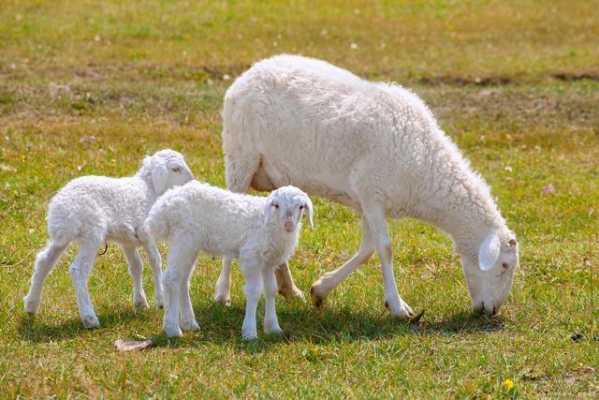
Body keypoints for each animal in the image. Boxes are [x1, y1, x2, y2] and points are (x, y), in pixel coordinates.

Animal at [22, 148, 192, 326]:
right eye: (176, 169)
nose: (191, 181)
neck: (149, 189)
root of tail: (62, 207)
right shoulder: (145, 232)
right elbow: (155, 261)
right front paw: (160, 300)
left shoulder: (127, 240)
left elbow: (136, 266)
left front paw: (140, 302)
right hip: (92, 233)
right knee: (78, 270)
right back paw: (89, 317)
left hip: (61, 237)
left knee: (43, 261)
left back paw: (31, 305)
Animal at [145, 183, 314, 340]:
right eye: (276, 205)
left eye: (301, 207)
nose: (289, 225)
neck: (270, 223)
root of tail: (162, 206)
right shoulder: (251, 256)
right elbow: (254, 291)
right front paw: (250, 332)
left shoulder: (268, 263)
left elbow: (270, 290)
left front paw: (273, 327)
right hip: (183, 239)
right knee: (171, 279)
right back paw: (173, 328)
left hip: (190, 245)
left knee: (182, 280)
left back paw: (189, 323)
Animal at [217, 54, 520, 318]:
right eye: (504, 265)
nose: (492, 311)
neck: (426, 166)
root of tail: (251, 71)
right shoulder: (371, 192)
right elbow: (385, 248)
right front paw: (398, 306)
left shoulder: (366, 200)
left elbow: (367, 249)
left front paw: (321, 289)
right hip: (240, 158)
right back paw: (223, 294)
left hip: (278, 177)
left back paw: (289, 289)